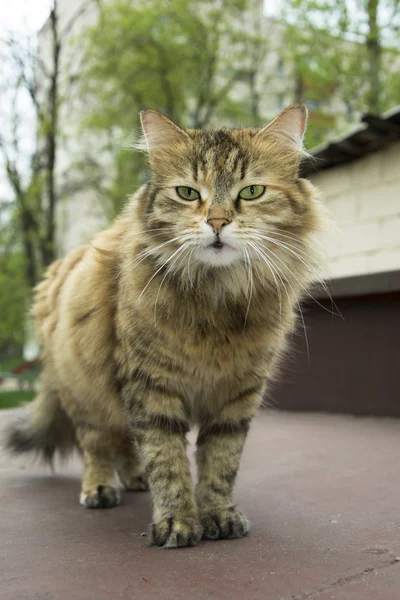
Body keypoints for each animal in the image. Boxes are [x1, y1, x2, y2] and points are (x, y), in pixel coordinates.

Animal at [5, 104, 328, 548]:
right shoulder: (150, 385)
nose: (217, 223)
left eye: (251, 192)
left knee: (124, 441)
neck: (216, 300)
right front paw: (177, 521)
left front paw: (218, 515)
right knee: (98, 445)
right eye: (188, 193)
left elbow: (220, 463)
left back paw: (135, 478)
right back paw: (101, 488)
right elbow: (168, 459)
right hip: (85, 394)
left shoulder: (237, 394)